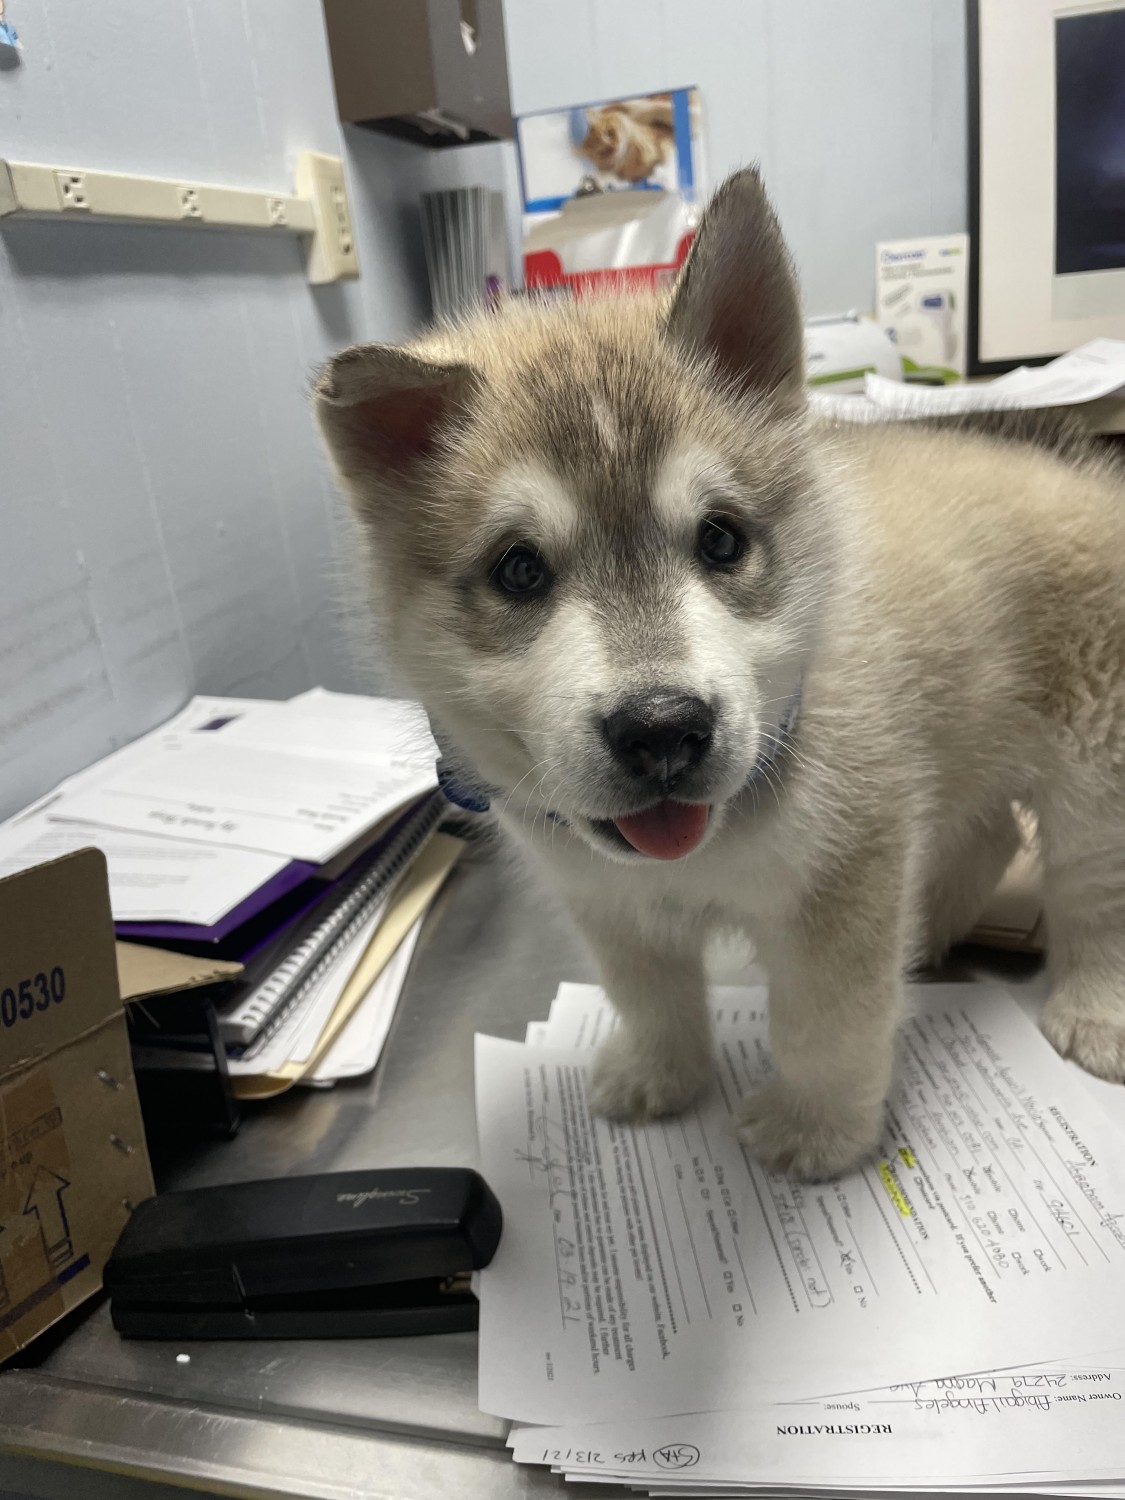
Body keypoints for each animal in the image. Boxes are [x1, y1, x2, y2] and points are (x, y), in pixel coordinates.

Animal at [315, 170, 1125, 1176]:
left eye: (721, 540)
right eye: (519, 570)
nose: (662, 728)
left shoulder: (841, 882)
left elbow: (826, 1025)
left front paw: (817, 1128)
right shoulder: (608, 902)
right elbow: (649, 995)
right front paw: (661, 1073)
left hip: (1096, 772)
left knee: (1093, 887)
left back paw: (1095, 1009)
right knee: (981, 836)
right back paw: (930, 933)